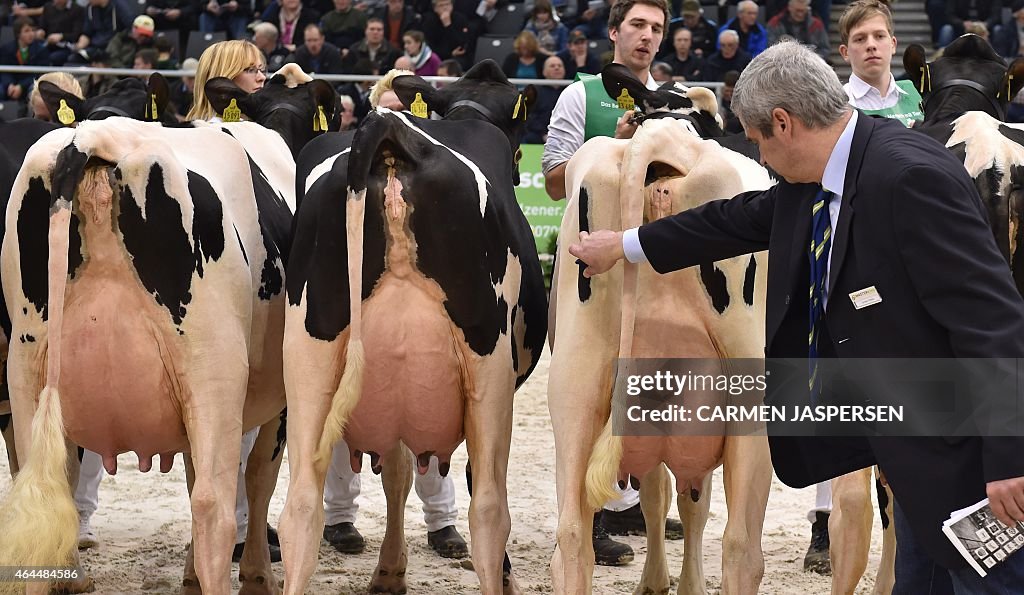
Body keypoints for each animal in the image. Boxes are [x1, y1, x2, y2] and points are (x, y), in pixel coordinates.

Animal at [272, 61, 544, 593]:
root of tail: (391, 133)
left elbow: (395, 469)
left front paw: (389, 571)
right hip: (489, 366)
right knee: (489, 508)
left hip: (309, 355)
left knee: (300, 508)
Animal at [548, 62, 770, 589]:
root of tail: (662, 135)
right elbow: (691, 503)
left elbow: (659, 492)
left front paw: (655, 581)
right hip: (753, 391)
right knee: (741, 545)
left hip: (576, 374)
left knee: (572, 535)